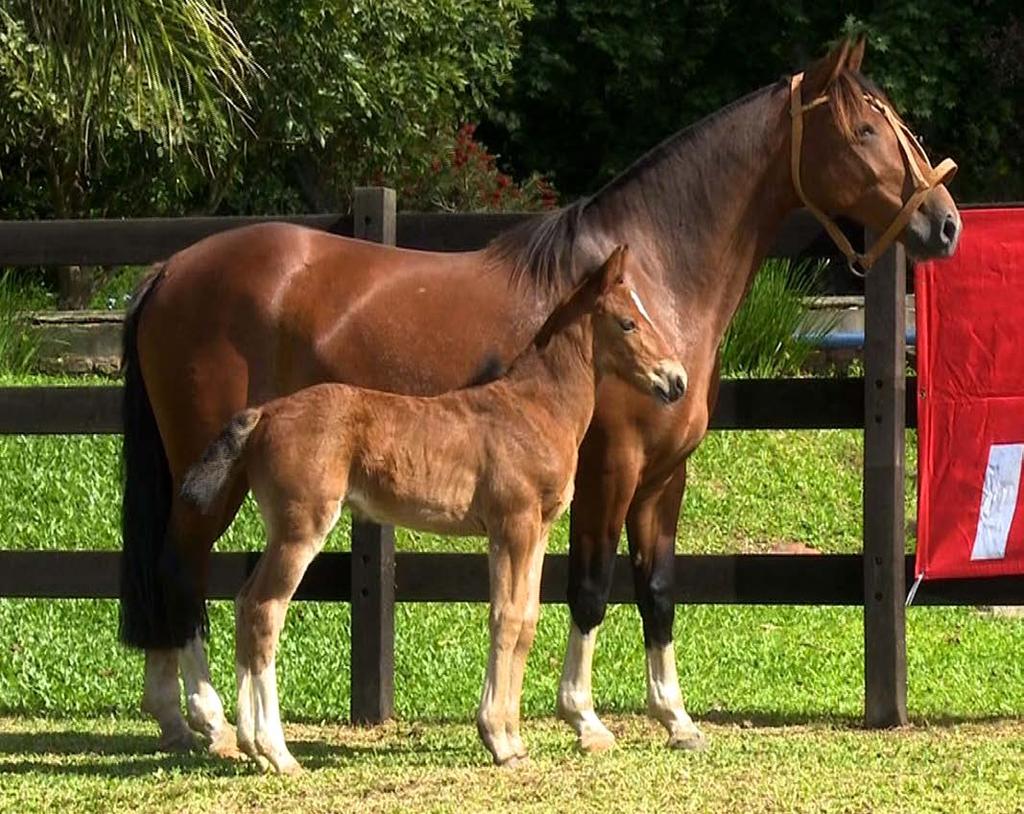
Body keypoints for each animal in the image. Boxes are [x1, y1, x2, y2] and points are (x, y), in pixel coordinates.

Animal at [181, 246, 688, 769]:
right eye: (628, 322)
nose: (677, 380)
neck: (534, 408)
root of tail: (264, 414)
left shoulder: (535, 530)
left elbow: (525, 619)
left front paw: (513, 740)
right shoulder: (514, 524)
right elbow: (506, 617)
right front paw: (499, 739)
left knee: (245, 604)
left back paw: (252, 747)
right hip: (301, 528)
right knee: (264, 610)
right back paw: (276, 751)